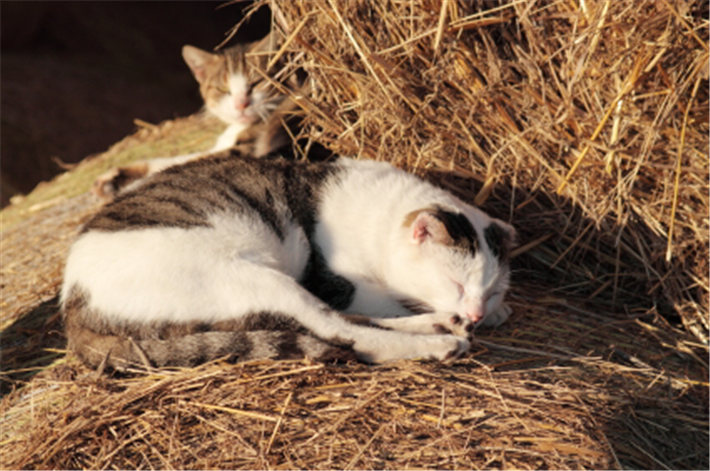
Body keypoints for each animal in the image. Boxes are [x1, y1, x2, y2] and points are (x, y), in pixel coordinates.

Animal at [62, 151, 516, 372]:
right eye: (456, 283)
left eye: (492, 291)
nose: (477, 312)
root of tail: (74, 308)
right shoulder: (335, 279)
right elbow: (374, 305)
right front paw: (456, 320)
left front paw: (486, 315)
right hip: (251, 279)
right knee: (341, 330)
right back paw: (441, 342)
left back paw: (441, 325)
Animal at [92, 30, 306, 197]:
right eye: (222, 89)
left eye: (256, 83)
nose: (241, 105)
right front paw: (115, 178)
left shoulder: (243, 151)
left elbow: (183, 162)